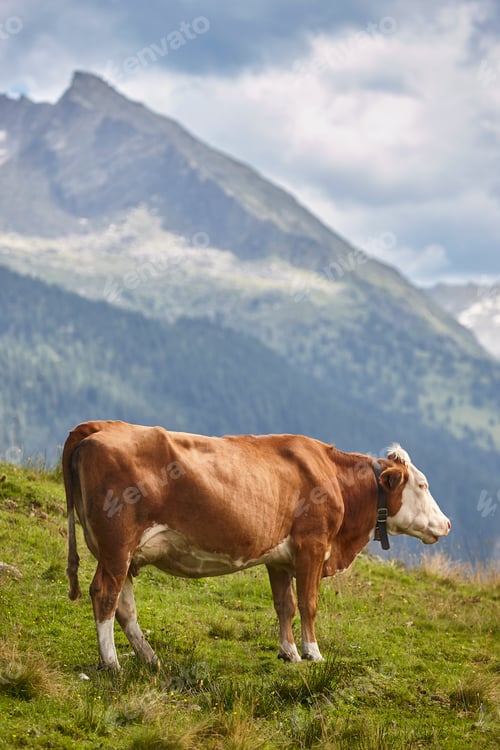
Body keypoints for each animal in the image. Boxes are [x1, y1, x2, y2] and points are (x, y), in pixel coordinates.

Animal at [63, 420, 451, 669]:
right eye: (423, 485)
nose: (447, 524)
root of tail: (97, 426)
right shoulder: (313, 545)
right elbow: (309, 604)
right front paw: (313, 653)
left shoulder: (279, 558)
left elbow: (285, 605)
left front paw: (289, 653)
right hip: (117, 544)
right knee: (105, 594)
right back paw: (111, 662)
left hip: (122, 553)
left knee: (124, 606)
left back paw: (149, 657)